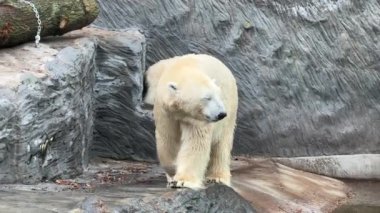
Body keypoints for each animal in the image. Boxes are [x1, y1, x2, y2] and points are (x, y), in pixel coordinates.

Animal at [143, 54, 238, 189]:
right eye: (207, 97)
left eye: (218, 95)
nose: (221, 114)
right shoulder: (165, 112)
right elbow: (168, 140)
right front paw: (172, 173)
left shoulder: (199, 119)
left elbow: (195, 142)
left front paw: (183, 181)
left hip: (230, 108)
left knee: (221, 145)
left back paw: (217, 178)